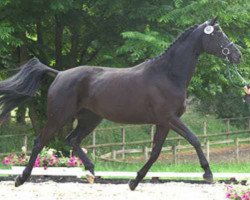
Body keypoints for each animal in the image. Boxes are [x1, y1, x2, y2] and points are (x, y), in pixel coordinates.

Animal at [0, 16, 242, 189]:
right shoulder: (170, 118)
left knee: (72, 140)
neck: (167, 74)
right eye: (218, 34)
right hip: (59, 117)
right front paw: (208, 174)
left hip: (90, 119)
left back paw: (92, 171)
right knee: (39, 142)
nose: (237, 55)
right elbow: (195, 140)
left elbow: (155, 152)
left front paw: (134, 182)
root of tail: (59, 74)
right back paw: (21, 179)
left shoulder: (163, 123)